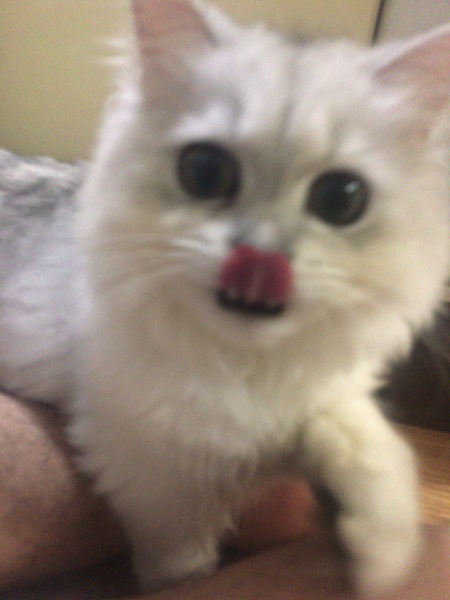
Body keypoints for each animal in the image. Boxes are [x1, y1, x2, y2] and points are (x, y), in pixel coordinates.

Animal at [1, 0, 449, 594]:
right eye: (205, 171)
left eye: (341, 198)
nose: (260, 261)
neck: (247, 365)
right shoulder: (157, 480)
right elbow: (181, 562)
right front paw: (185, 583)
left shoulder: (324, 395)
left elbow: (369, 448)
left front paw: (383, 557)